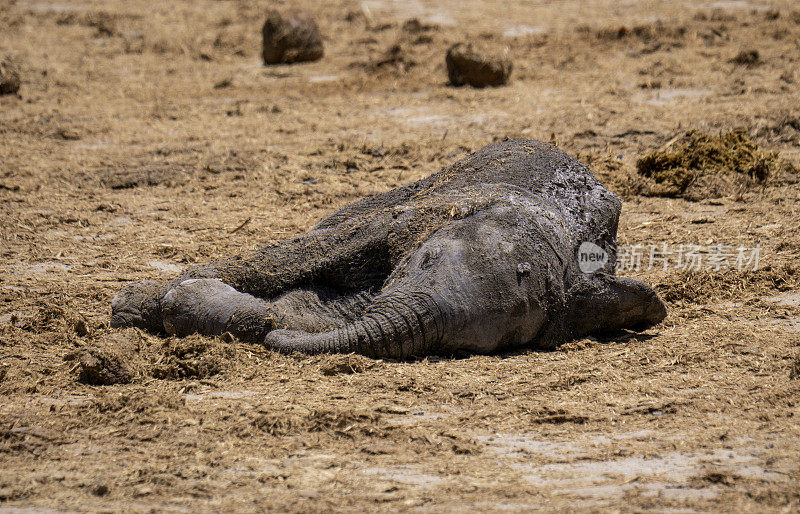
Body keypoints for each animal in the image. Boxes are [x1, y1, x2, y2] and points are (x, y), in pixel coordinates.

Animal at [109, 138, 664, 358]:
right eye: (425, 259)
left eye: (470, 344)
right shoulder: (414, 217)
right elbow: (309, 254)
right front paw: (132, 308)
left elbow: (310, 314)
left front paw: (191, 304)